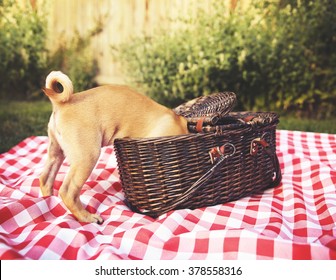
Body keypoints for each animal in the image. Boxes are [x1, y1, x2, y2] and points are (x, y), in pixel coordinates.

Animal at [39, 71, 189, 224]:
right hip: (87, 157)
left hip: (56, 153)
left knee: (46, 179)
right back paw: (86, 217)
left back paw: (49, 200)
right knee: (68, 192)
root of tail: (61, 104)